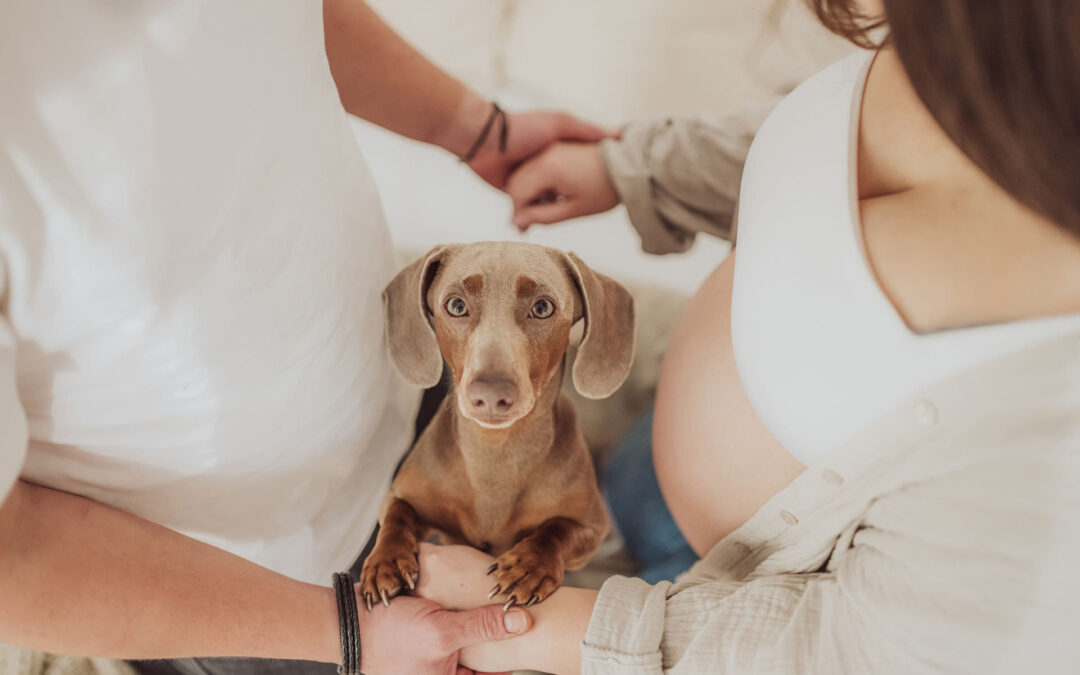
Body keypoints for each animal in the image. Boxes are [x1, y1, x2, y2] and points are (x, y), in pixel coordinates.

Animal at [358, 240, 635, 609]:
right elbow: (395, 516)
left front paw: (528, 566)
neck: (495, 453)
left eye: (542, 307)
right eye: (456, 305)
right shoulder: (400, 494)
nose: (490, 394)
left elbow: (555, 531)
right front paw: (385, 562)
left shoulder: (591, 526)